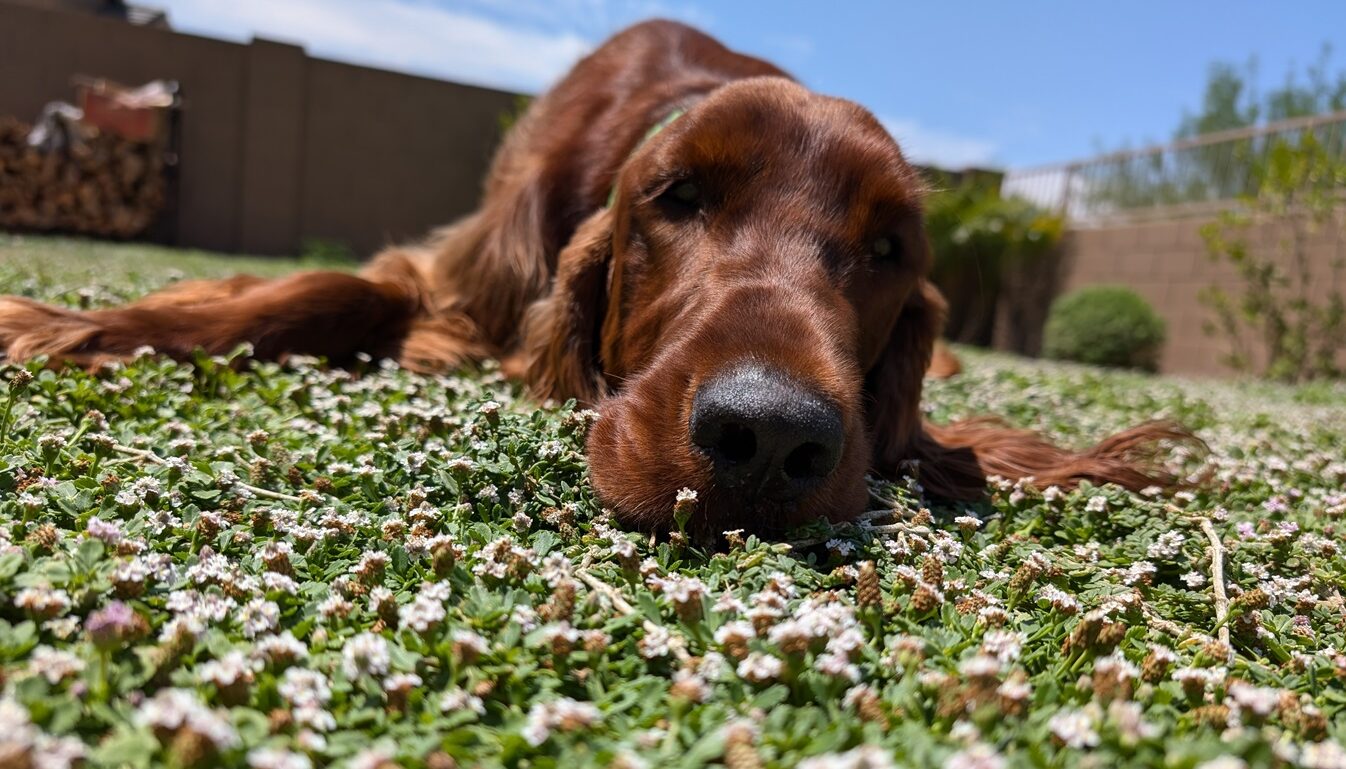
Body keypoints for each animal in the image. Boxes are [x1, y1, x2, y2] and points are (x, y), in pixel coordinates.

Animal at [0, 19, 1195, 536]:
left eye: (889, 249)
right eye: (678, 194)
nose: (769, 437)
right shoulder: (453, 275)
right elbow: (326, 291)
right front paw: (69, 323)